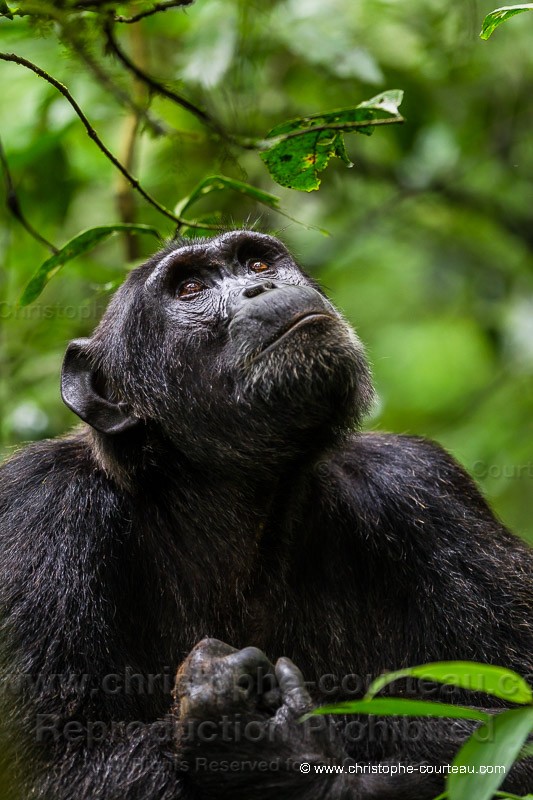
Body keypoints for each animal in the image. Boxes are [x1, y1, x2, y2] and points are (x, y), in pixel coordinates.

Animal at [1, 228, 532, 796]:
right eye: (190, 288)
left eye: (255, 262)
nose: (261, 286)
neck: (236, 500)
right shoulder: (38, 514)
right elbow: (61, 763)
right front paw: (264, 734)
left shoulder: (428, 489)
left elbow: (513, 716)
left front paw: (276, 745)